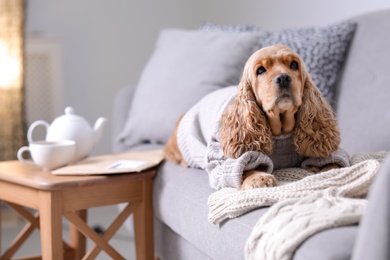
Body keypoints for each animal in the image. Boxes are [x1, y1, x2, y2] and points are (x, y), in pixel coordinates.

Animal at [163, 44, 348, 191]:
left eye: (294, 65)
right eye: (260, 70)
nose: (283, 78)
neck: (281, 131)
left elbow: (333, 160)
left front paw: (331, 171)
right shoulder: (220, 158)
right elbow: (241, 166)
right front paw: (258, 177)